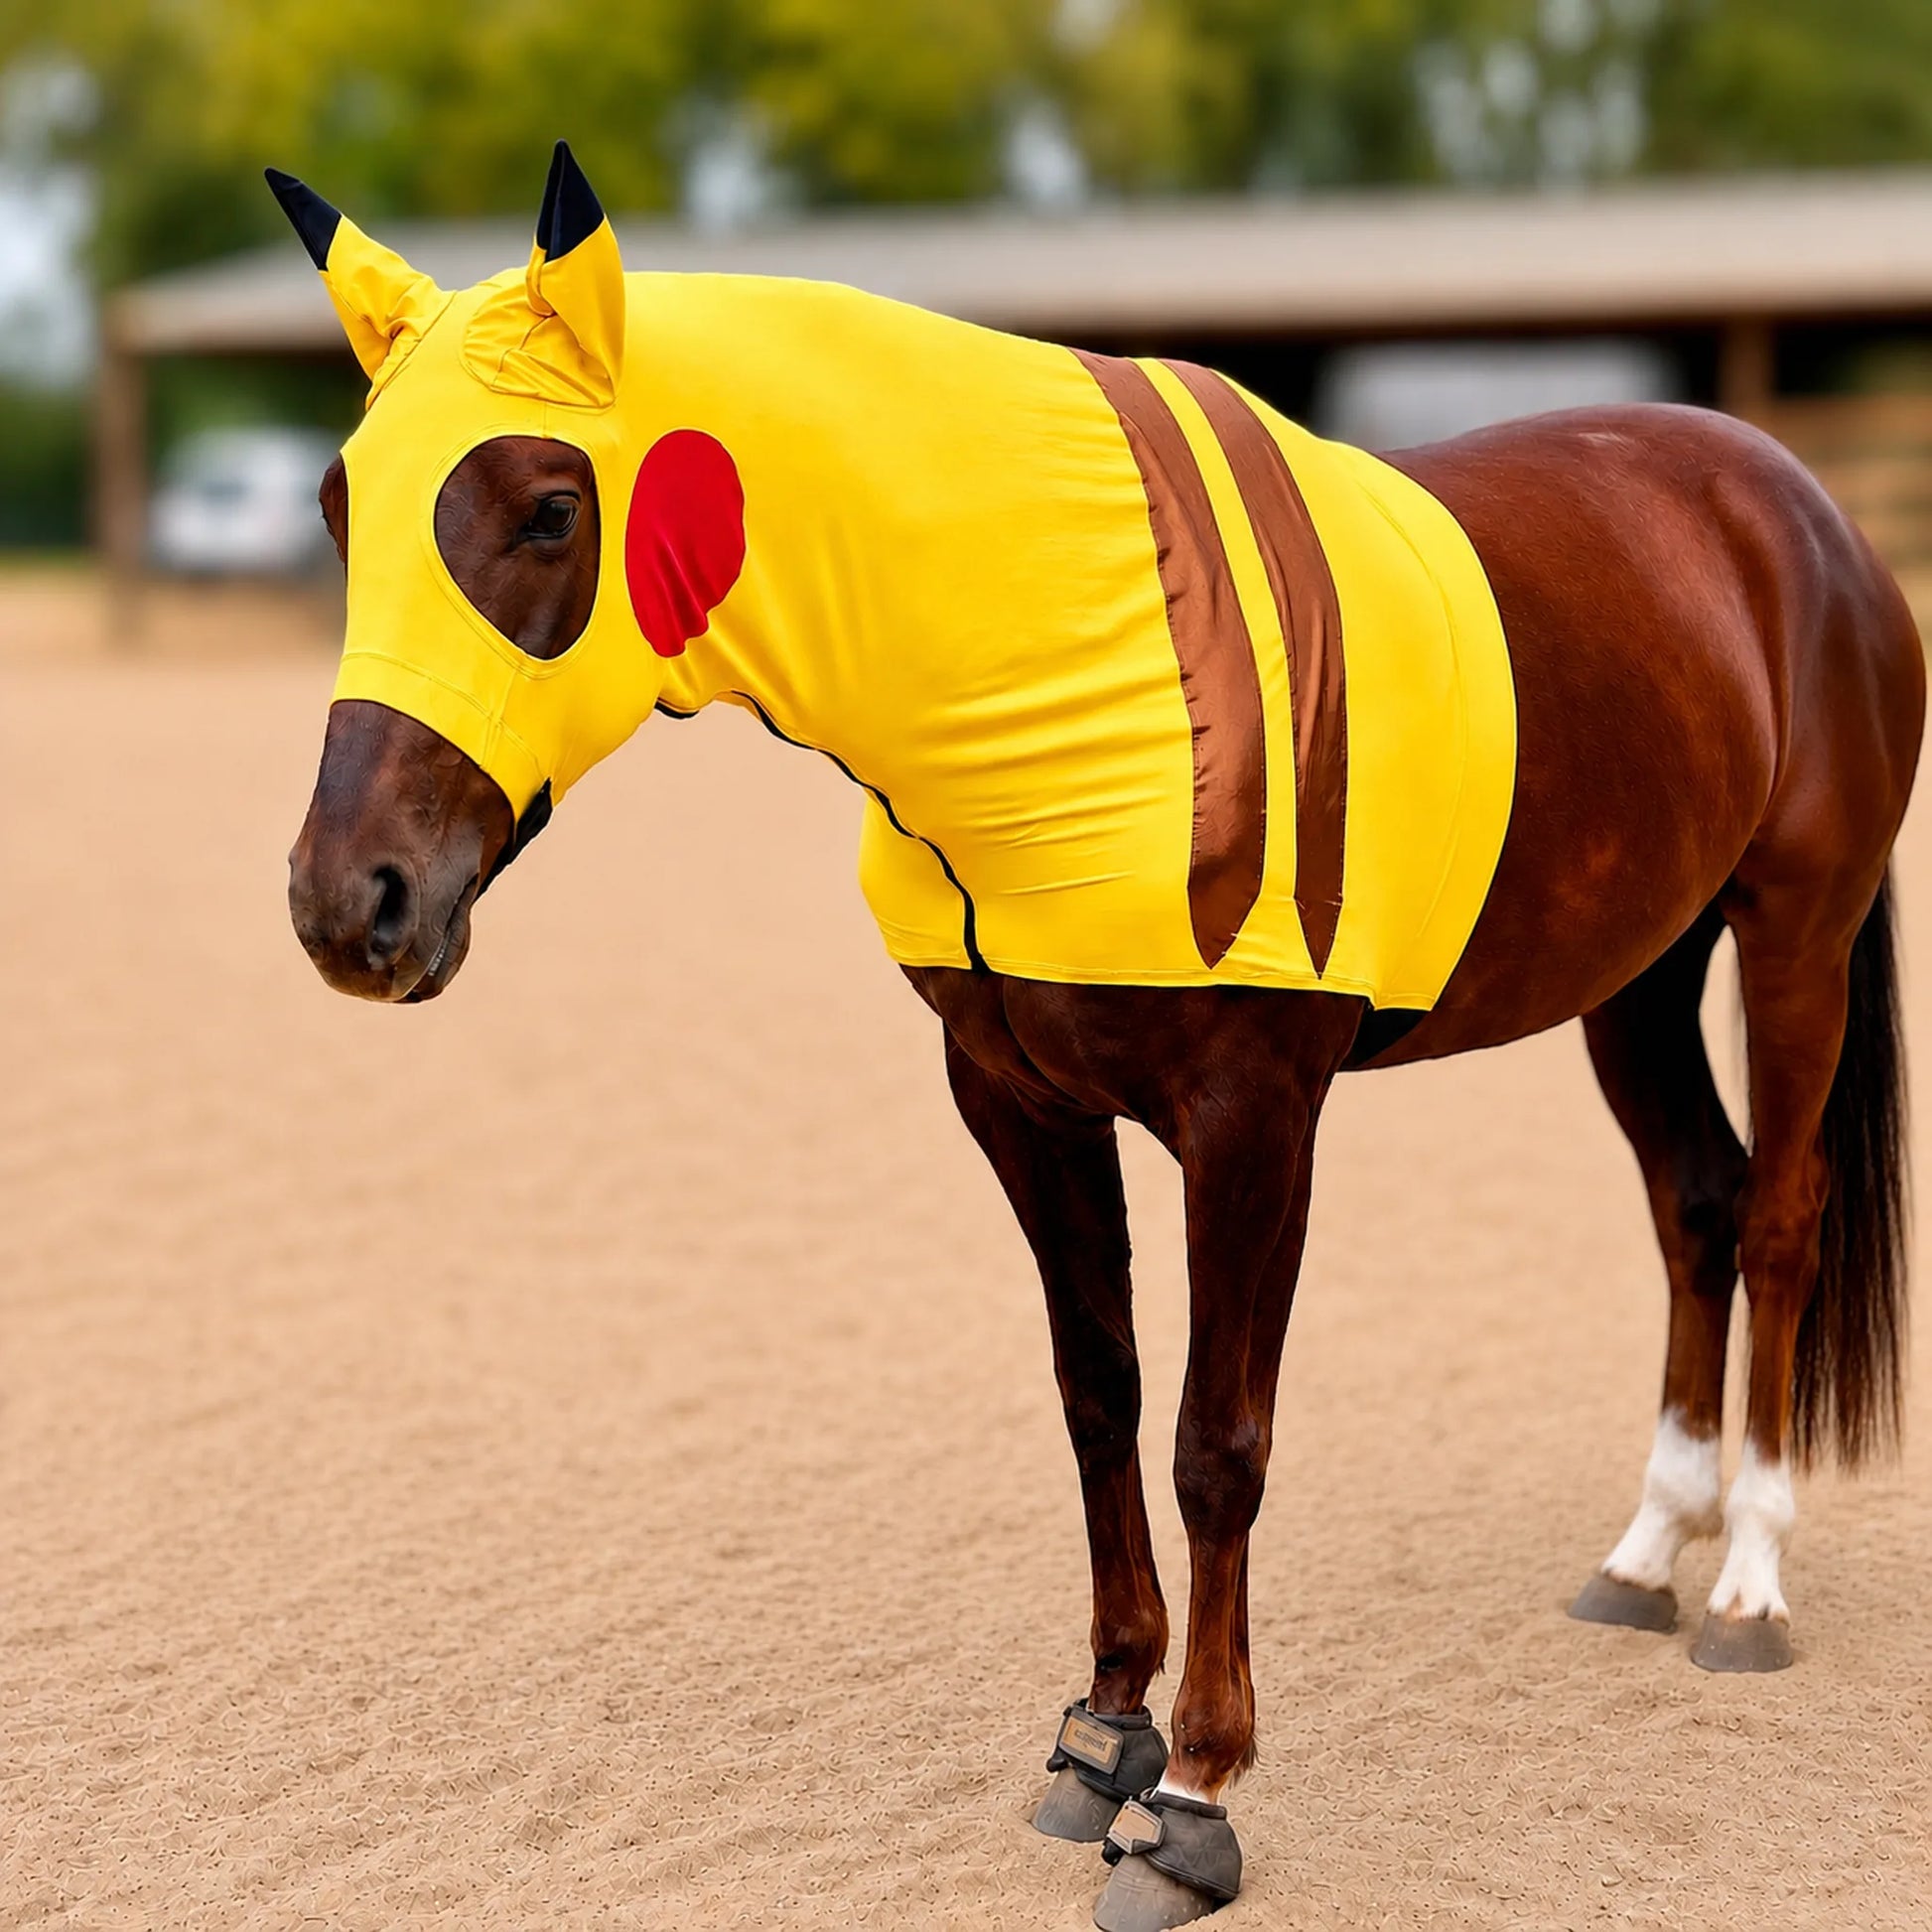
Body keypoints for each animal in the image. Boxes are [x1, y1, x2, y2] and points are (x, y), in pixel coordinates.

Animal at [282, 150, 1922, 1931]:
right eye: (341, 510)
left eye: (547, 509)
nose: (347, 902)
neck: (1083, 634)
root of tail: (1796, 507)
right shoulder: (1017, 1102)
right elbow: (1099, 1396)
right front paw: (1098, 1738)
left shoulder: (1252, 1116)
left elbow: (1216, 1442)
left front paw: (1194, 1796)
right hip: (1635, 969)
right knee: (1693, 1203)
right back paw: (1643, 1553)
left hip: (1791, 931)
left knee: (1777, 1217)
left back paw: (1746, 1582)